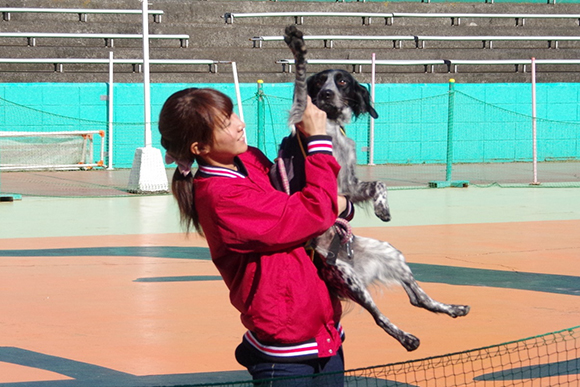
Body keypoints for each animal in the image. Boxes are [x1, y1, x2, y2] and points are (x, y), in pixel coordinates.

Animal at [272, 25, 472, 354]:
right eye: (321, 82)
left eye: (342, 81)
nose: (327, 94)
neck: (329, 125)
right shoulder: (302, 112)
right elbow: (300, 77)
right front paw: (296, 44)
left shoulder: (349, 186)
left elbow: (378, 183)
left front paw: (383, 209)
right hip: (349, 277)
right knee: (380, 317)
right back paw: (407, 338)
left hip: (389, 253)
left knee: (418, 298)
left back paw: (452, 309)